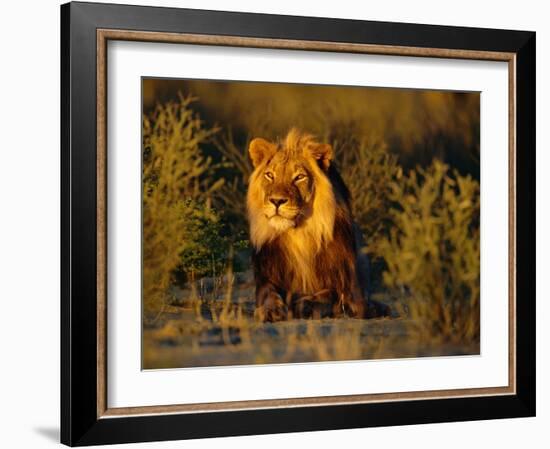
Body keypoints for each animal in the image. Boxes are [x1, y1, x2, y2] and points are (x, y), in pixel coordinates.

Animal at [248, 128, 390, 320]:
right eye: (270, 175)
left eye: (299, 177)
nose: (276, 201)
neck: (299, 234)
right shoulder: (267, 276)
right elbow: (268, 294)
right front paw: (270, 310)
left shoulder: (349, 289)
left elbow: (332, 294)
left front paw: (306, 303)